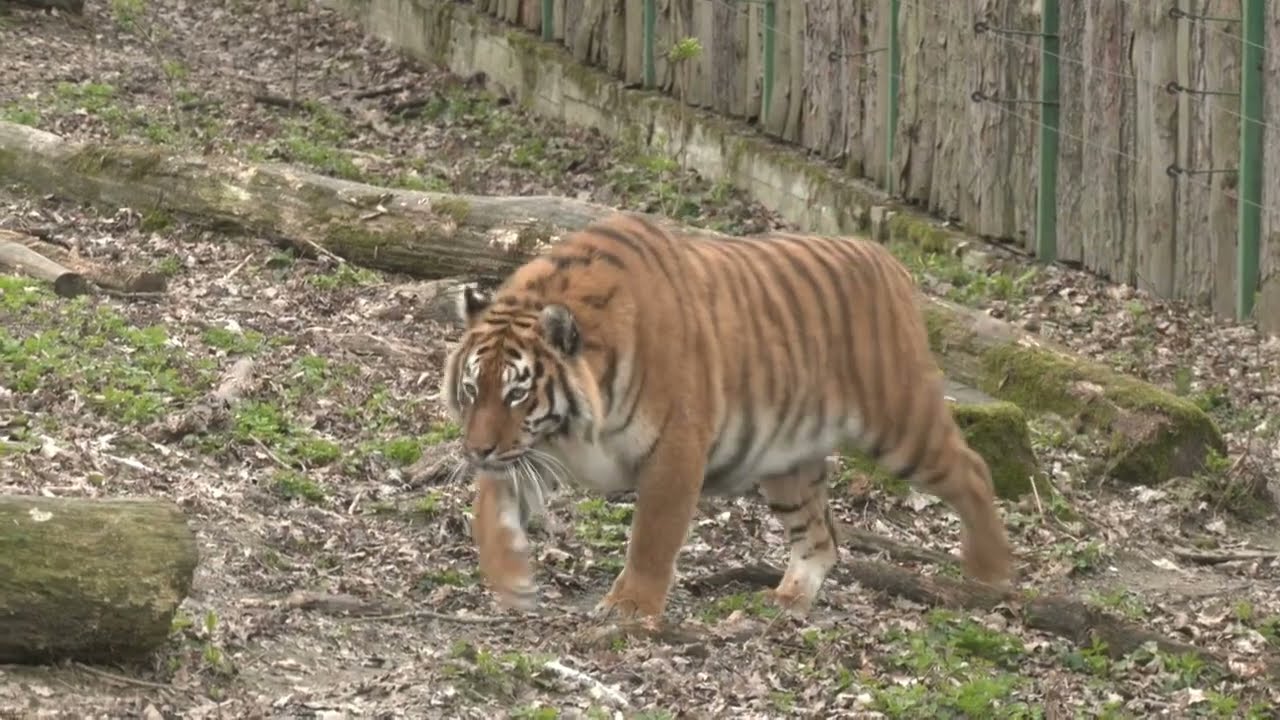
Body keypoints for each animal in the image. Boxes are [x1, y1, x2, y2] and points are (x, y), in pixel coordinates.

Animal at [440, 211, 1014, 622]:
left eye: (517, 393)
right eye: (472, 389)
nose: (477, 449)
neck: (576, 425)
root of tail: (886, 259)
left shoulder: (675, 445)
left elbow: (653, 535)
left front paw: (631, 608)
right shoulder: (531, 449)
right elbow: (491, 506)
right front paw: (509, 578)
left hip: (899, 422)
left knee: (973, 468)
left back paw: (990, 568)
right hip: (788, 465)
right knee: (822, 537)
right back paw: (787, 600)